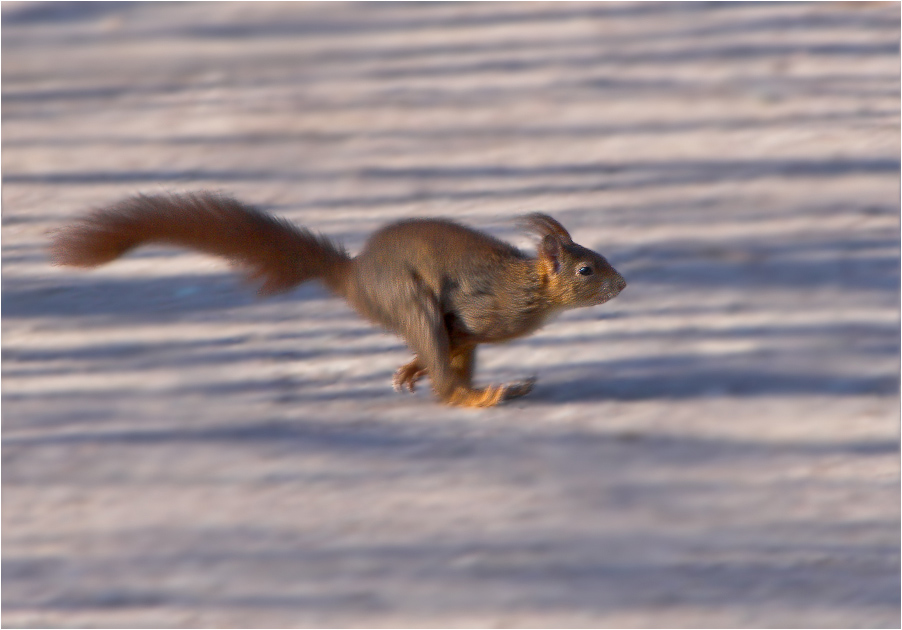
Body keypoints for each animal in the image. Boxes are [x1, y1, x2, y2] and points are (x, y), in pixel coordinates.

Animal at [49, 193, 628, 410]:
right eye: (587, 270)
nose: (622, 284)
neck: (528, 290)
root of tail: (352, 277)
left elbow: (457, 342)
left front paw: (410, 368)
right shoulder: (480, 307)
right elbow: (459, 333)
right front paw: (425, 369)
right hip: (408, 298)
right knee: (442, 368)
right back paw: (478, 395)